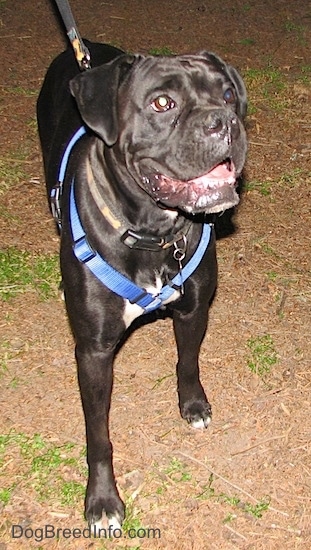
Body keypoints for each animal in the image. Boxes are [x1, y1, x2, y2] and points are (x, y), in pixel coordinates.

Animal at [36, 42, 247, 536]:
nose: (224, 121)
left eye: (228, 95)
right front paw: (102, 500)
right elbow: (99, 436)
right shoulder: (94, 352)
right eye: (162, 103)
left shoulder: (193, 310)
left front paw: (193, 403)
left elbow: (187, 362)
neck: (153, 232)